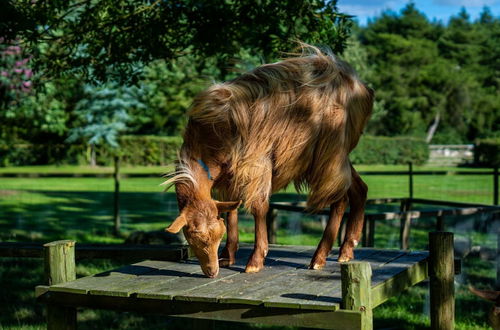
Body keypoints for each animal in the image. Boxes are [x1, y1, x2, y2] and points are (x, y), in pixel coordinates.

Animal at [166, 43, 374, 276]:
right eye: (194, 236)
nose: (212, 271)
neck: (209, 138)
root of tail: (362, 87)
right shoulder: (231, 174)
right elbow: (232, 209)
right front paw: (228, 255)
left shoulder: (257, 161)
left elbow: (259, 207)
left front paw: (255, 260)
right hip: (340, 156)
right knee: (358, 189)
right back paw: (347, 250)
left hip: (329, 153)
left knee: (338, 197)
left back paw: (320, 257)